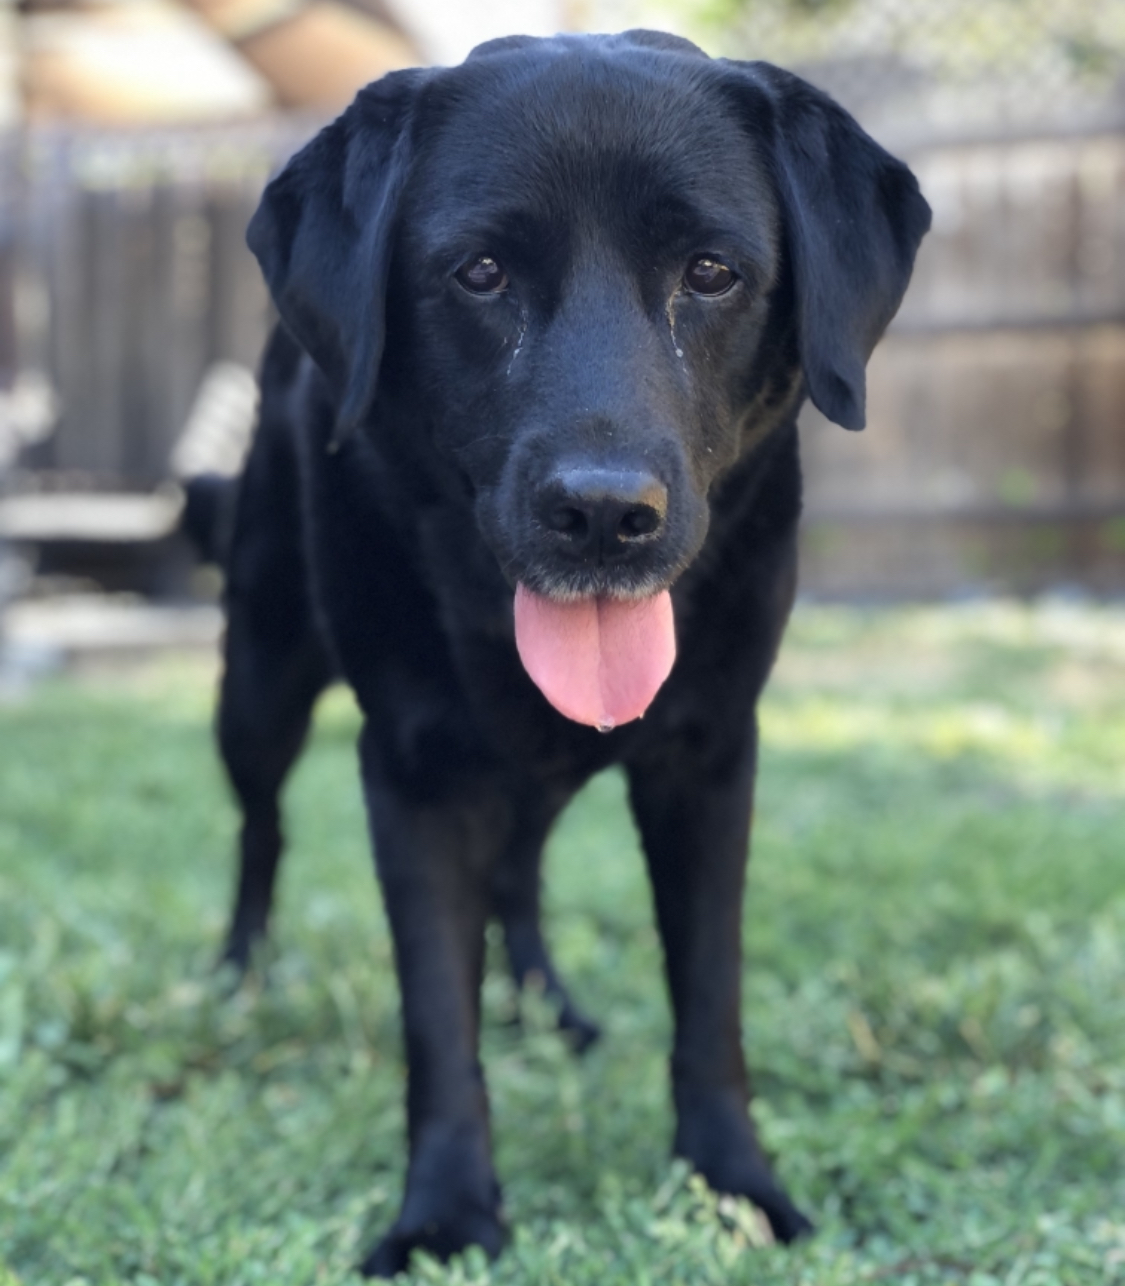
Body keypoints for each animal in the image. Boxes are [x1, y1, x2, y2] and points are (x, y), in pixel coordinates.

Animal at [211, 29, 930, 1276]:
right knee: (263, 825)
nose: (603, 514)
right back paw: (240, 980)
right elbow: (436, 1016)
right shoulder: (414, 768)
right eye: (481, 273)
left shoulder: (710, 758)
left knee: (521, 867)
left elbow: (709, 994)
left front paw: (735, 1187)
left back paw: (548, 1002)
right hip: (258, 675)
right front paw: (445, 1215)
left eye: (711, 271)